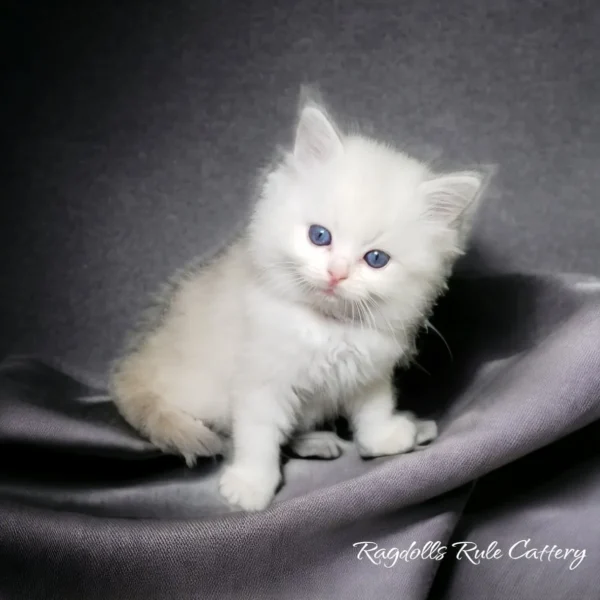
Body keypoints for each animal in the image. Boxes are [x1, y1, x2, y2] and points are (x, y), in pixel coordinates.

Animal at [110, 92, 490, 510]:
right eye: (319, 236)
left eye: (376, 259)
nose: (337, 274)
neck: (328, 327)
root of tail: (134, 369)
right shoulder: (260, 381)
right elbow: (258, 437)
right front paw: (250, 486)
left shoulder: (369, 370)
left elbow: (374, 409)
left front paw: (386, 439)